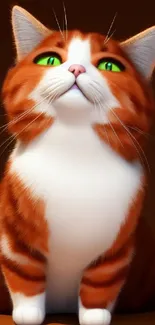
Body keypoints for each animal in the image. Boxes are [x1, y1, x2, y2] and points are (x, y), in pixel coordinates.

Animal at [0, 5, 155, 324]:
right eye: (49, 59)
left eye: (110, 66)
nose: (76, 69)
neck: (74, 150)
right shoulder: (13, 236)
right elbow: (25, 273)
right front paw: (28, 313)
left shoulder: (117, 248)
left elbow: (100, 281)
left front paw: (95, 315)